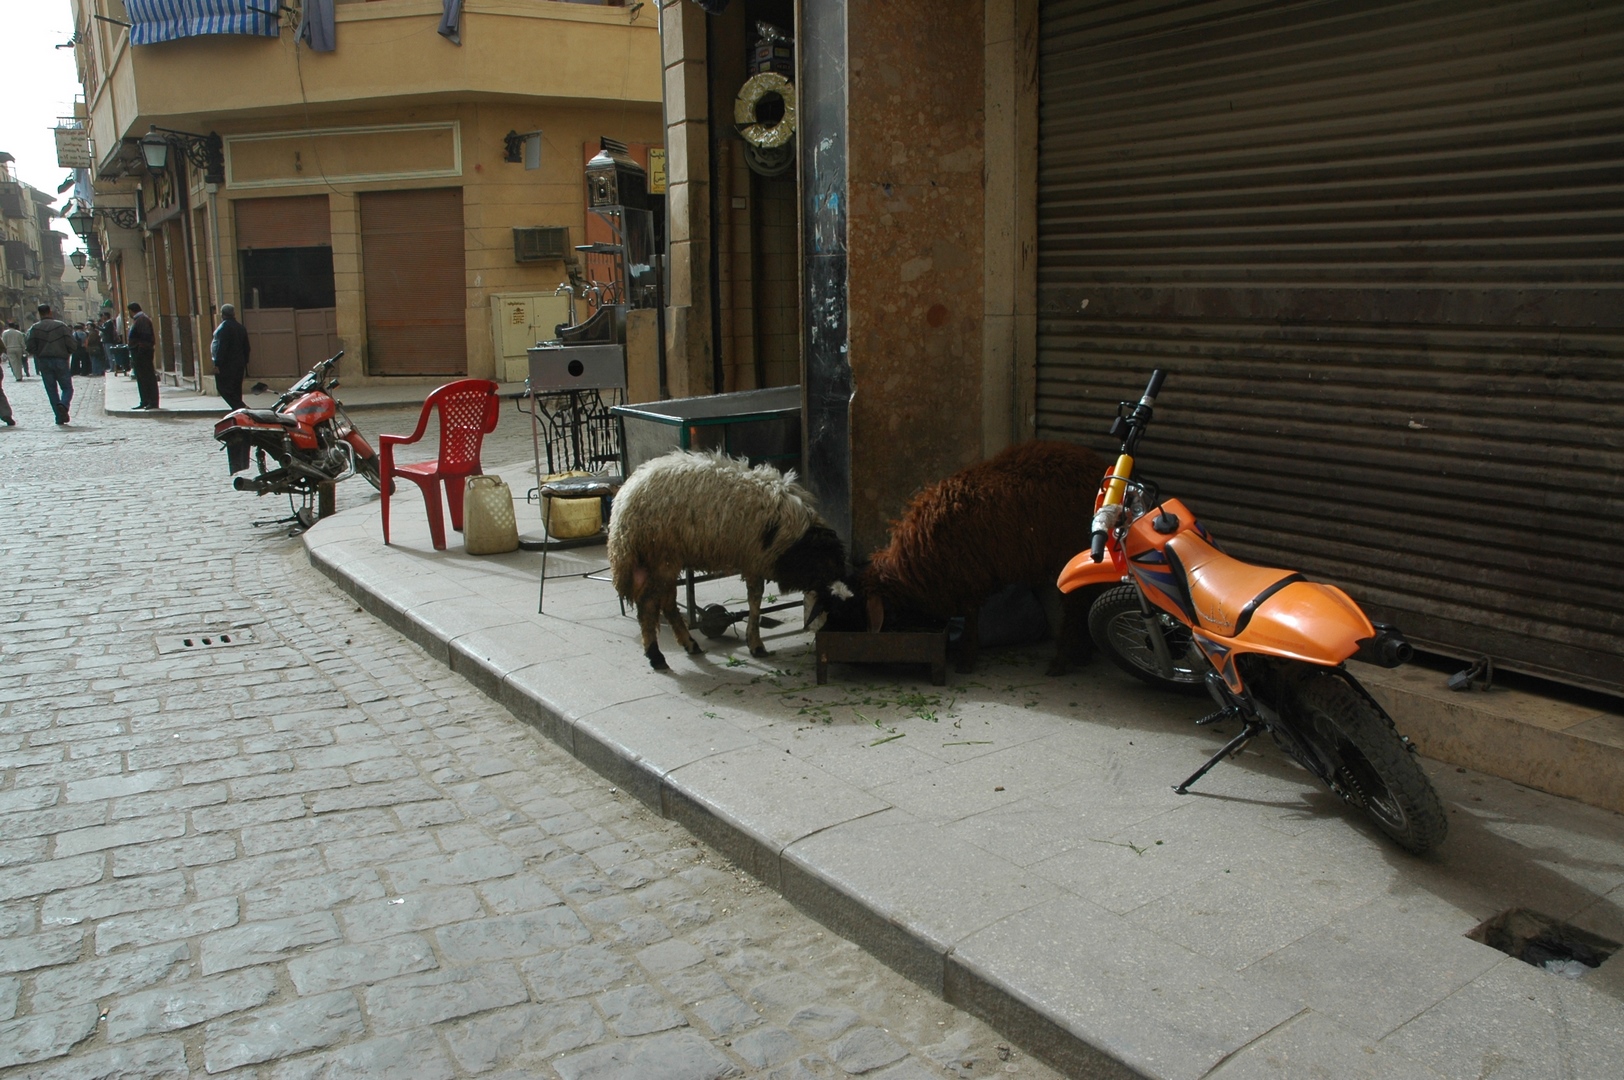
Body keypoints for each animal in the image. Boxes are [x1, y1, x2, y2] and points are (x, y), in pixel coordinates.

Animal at [608, 450, 849, 671]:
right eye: (836, 612)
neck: (801, 542)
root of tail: (622, 505)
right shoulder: (755, 559)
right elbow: (755, 599)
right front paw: (756, 644)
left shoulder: (754, 560)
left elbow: (755, 599)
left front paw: (754, 642)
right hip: (659, 555)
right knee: (649, 605)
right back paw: (656, 656)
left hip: (667, 558)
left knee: (667, 603)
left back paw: (689, 644)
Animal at [823, 440, 1108, 675]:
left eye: (856, 610)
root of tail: (1099, 469)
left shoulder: (968, 575)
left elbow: (970, 617)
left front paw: (966, 660)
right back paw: (1083, 656)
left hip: (1068, 554)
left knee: (1074, 606)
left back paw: (1061, 662)